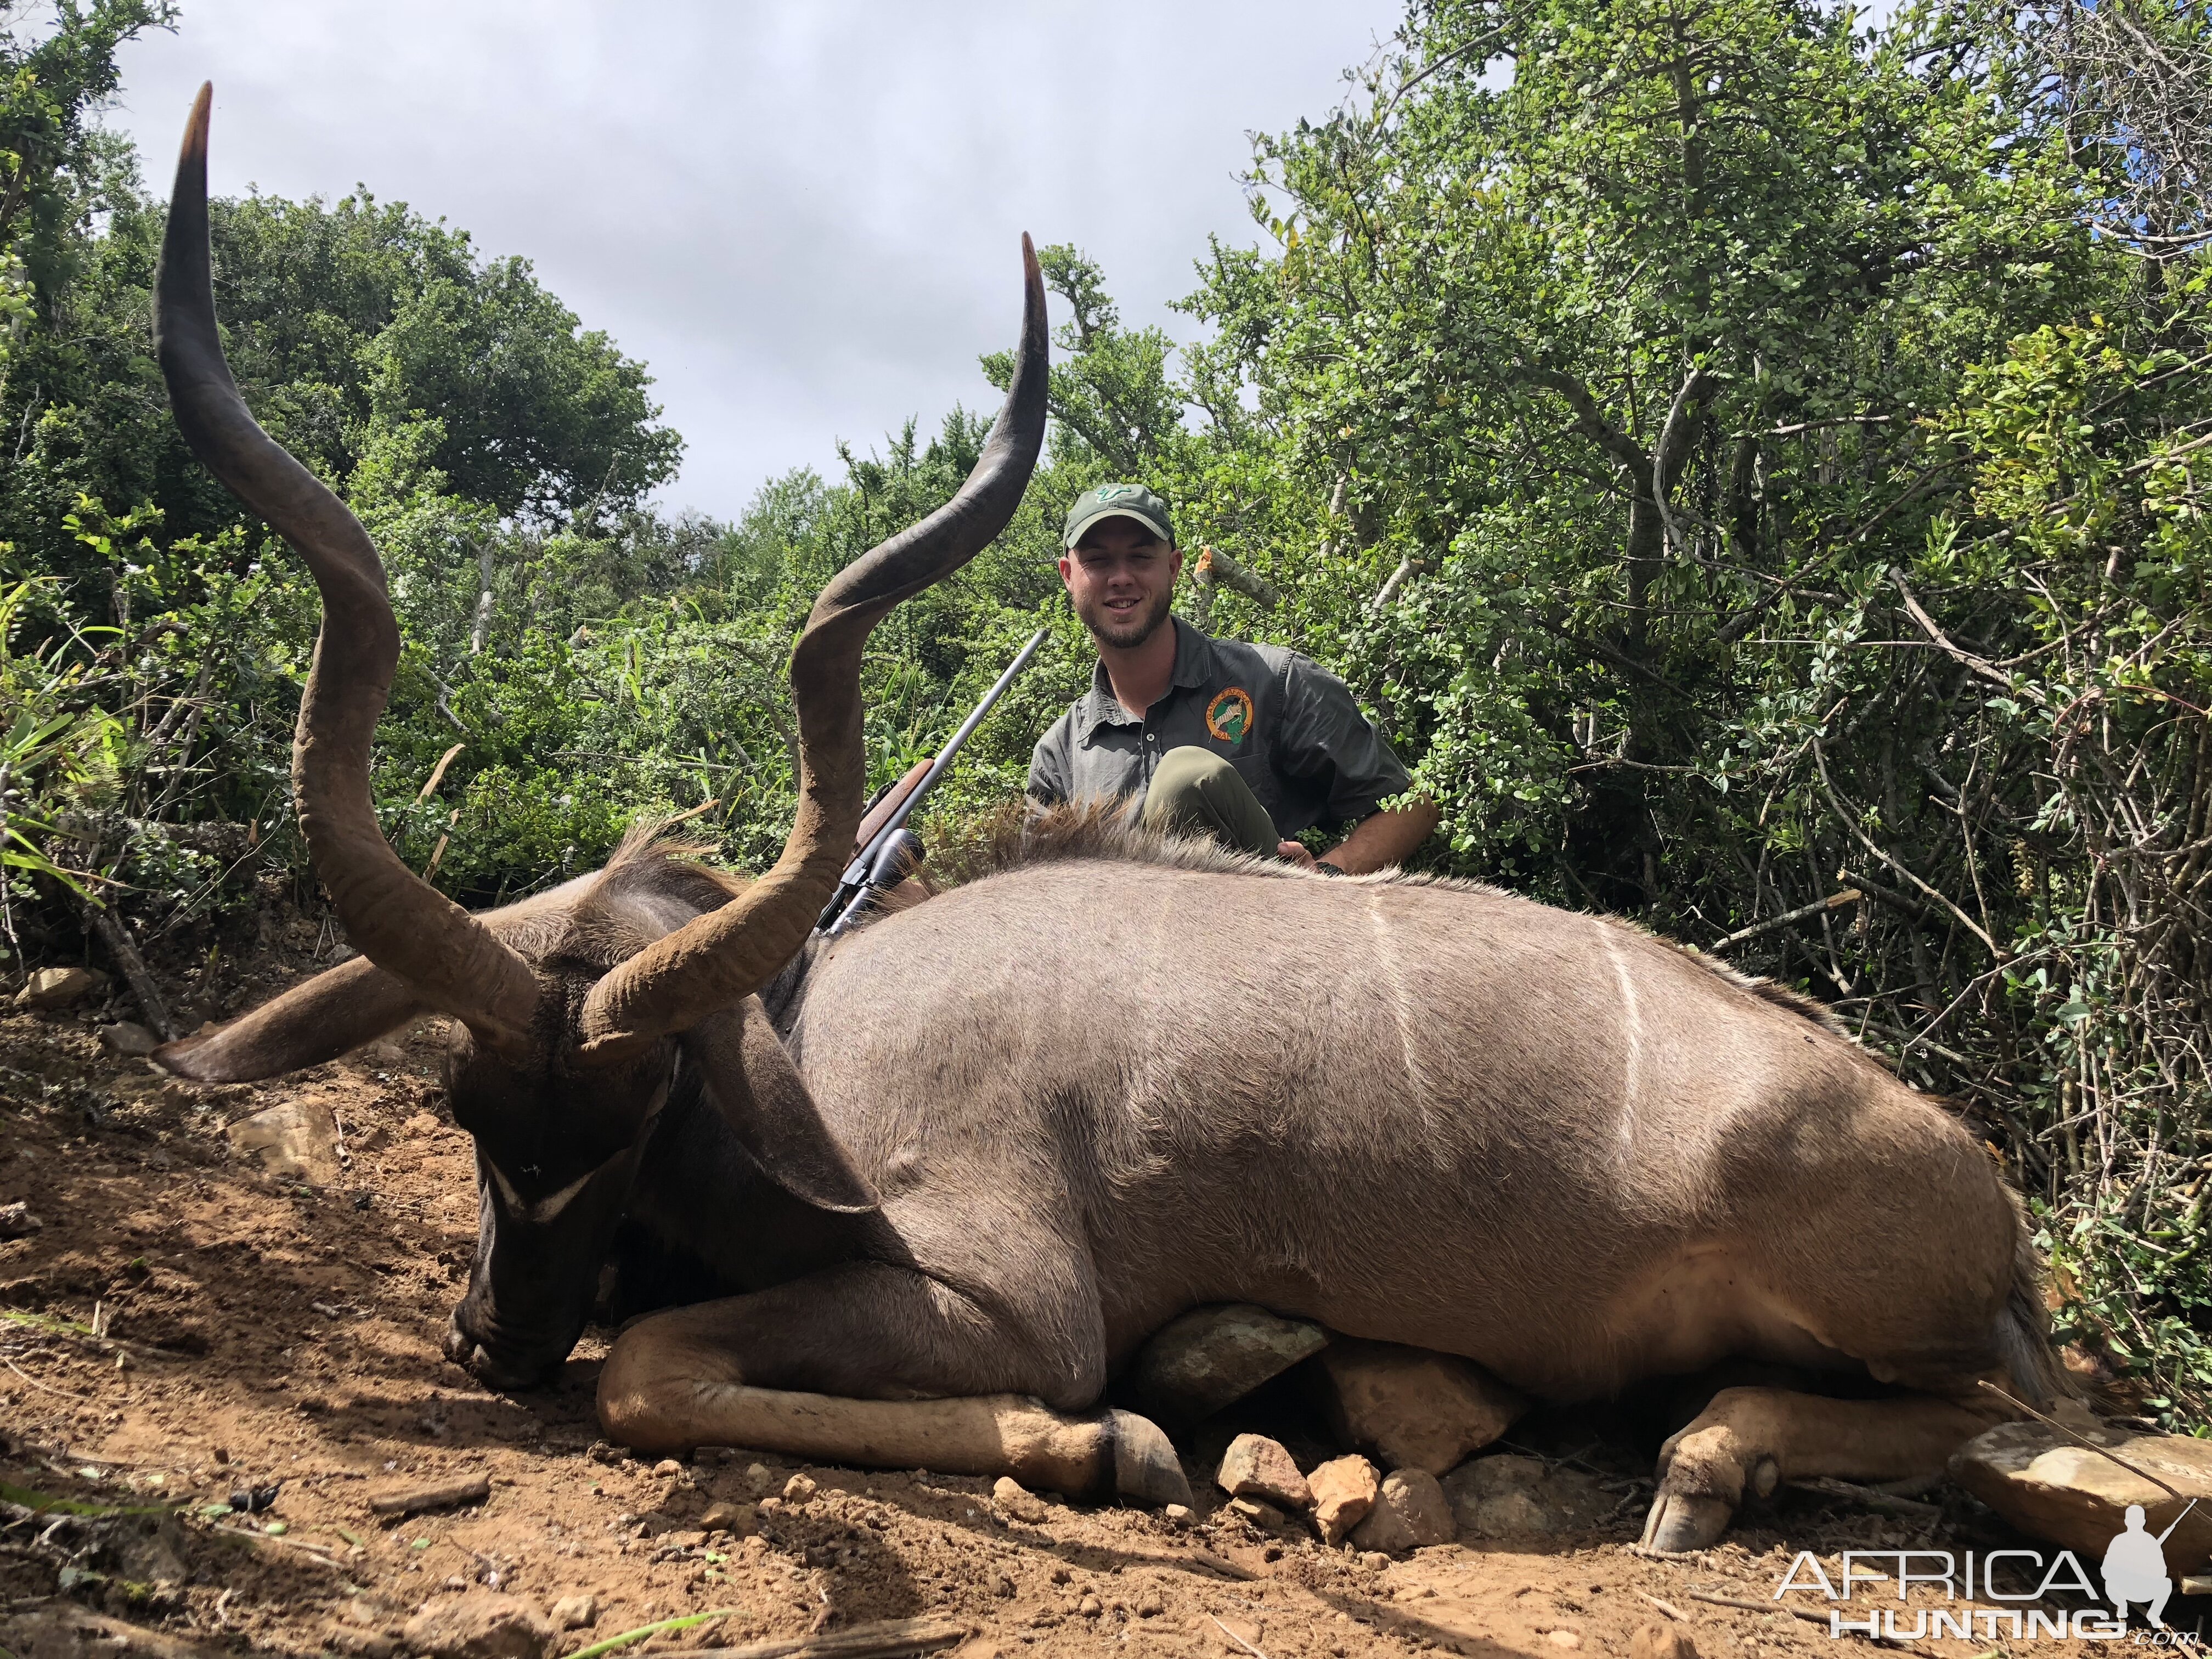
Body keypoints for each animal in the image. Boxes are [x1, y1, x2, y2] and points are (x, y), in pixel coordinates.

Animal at [151, 91, 2052, 1557]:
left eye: (634, 1117)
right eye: (464, 1106)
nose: (493, 1341)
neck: (809, 1029)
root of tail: (1979, 1181)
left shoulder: (1001, 1295)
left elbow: (657, 1374)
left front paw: (1119, 1443)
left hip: (1895, 1326)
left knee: (1996, 1421)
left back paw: (1706, 1461)